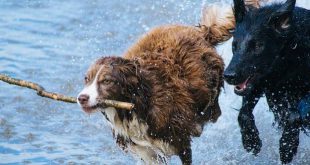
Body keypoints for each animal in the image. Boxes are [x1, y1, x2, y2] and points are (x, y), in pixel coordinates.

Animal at [75, 2, 260, 164]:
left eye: (107, 80)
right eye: (87, 79)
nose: (81, 98)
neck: (136, 104)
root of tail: (201, 32)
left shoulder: (179, 140)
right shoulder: (146, 151)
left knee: (212, 110)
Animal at [224, 0, 308, 163]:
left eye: (257, 46)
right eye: (234, 45)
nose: (228, 75)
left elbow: (294, 116)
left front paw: (287, 146)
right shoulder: (260, 83)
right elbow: (243, 113)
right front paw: (251, 141)